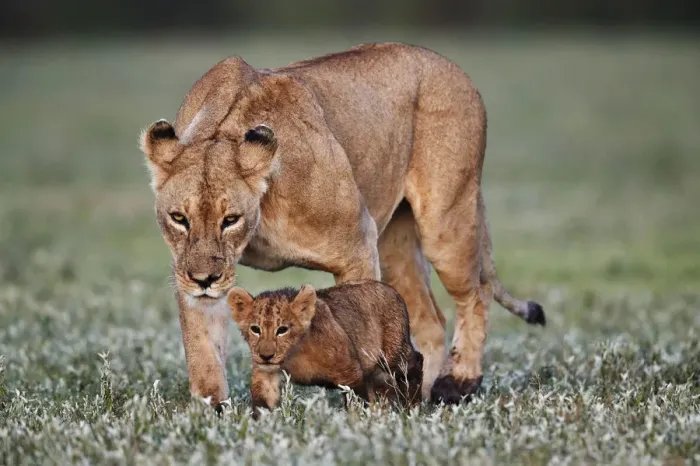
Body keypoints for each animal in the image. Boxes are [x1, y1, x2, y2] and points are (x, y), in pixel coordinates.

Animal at [228, 280, 423, 417]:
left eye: (282, 330)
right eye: (255, 329)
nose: (266, 356)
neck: (293, 354)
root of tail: (393, 291)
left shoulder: (350, 372)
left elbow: (357, 400)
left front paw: (359, 424)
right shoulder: (266, 375)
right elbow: (263, 403)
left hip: (393, 354)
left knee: (415, 364)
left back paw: (412, 408)